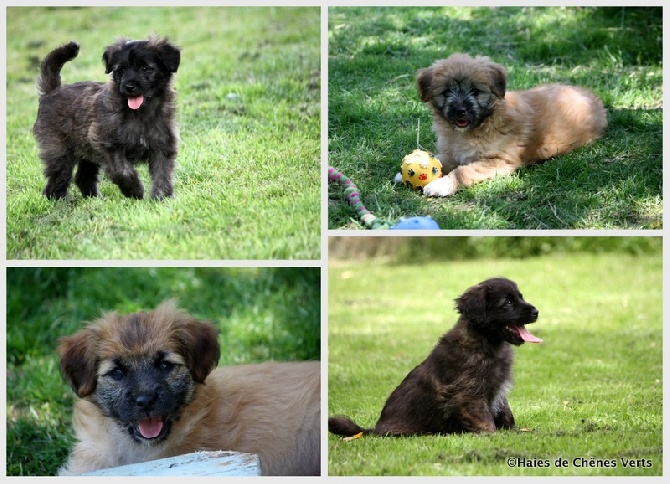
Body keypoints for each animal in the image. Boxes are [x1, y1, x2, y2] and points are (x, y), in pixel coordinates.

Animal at [33, 35, 181, 199]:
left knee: (83, 177)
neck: (140, 113)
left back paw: (94, 199)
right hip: (59, 152)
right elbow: (122, 171)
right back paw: (62, 201)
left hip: (86, 152)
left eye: (145, 68)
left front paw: (161, 198)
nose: (129, 87)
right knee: (56, 180)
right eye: (121, 70)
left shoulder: (163, 146)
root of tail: (52, 91)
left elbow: (162, 175)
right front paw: (134, 190)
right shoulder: (107, 144)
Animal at [330, 276, 544, 438]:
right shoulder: (469, 393)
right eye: (508, 302)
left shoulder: (497, 391)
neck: (485, 341)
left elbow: (506, 413)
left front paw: (519, 432)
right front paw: (495, 436)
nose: (536, 312)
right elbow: (484, 419)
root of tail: (374, 430)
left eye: (520, 297)